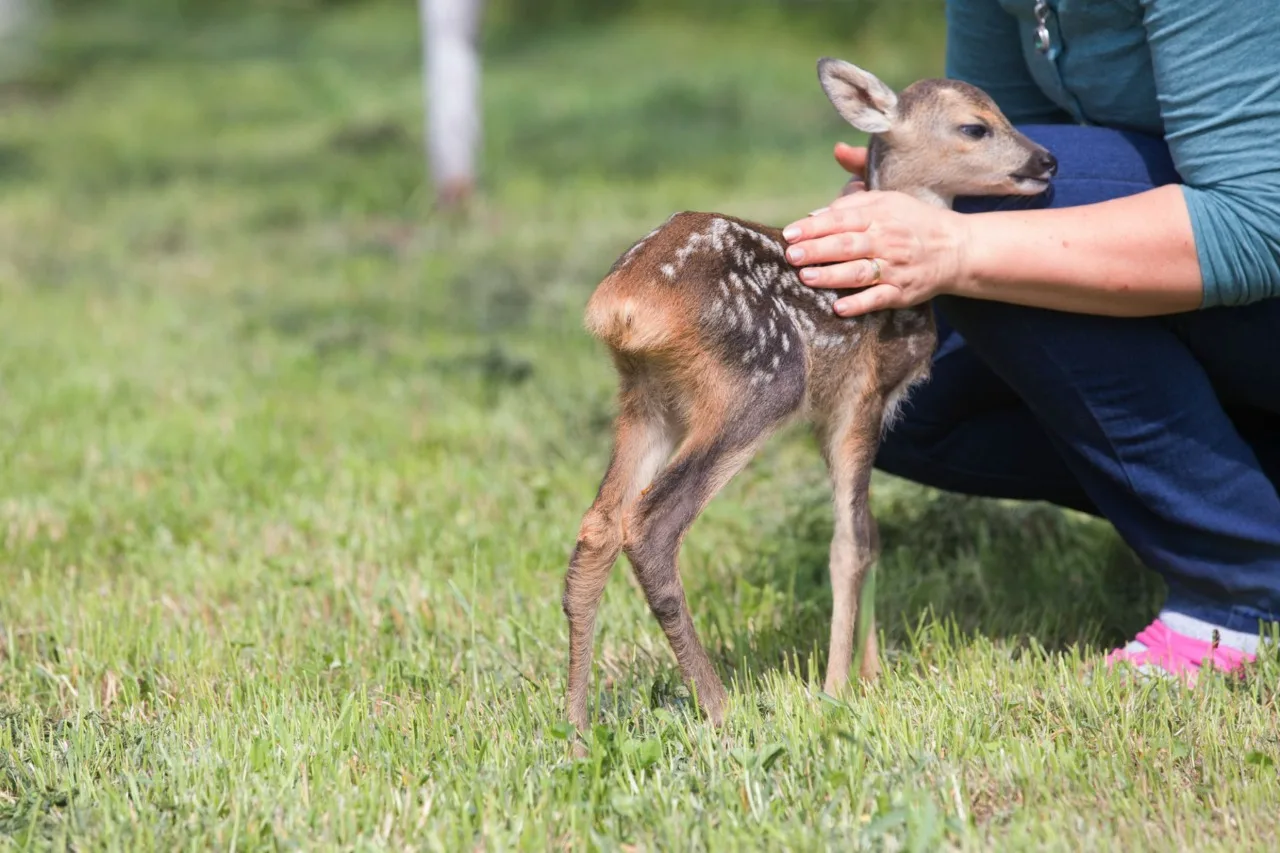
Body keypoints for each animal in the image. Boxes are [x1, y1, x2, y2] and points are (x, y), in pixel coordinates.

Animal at [561, 58, 1058, 733]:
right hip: (759, 384)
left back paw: (576, 727)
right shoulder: (861, 397)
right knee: (652, 523)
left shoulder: (832, 417)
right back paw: (721, 709)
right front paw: (838, 688)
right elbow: (851, 541)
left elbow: (868, 531)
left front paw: (870, 675)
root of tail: (623, 304)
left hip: (646, 400)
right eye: (975, 126)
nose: (1047, 160)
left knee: (598, 525)